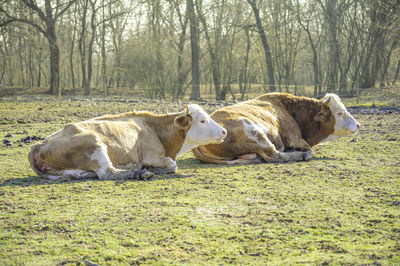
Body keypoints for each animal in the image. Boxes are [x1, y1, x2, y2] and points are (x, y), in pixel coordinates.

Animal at [29, 104, 227, 181]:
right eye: (202, 120)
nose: (224, 131)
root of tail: (41, 144)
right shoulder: (152, 155)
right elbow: (172, 165)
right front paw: (153, 169)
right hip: (95, 146)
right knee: (108, 173)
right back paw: (140, 173)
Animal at [192, 93, 360, 164]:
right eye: (339, 113)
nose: (358, 124)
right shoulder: (295, 139)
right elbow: (308, 150)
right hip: (256, 133)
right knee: (275, 155)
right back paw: (298, 155)